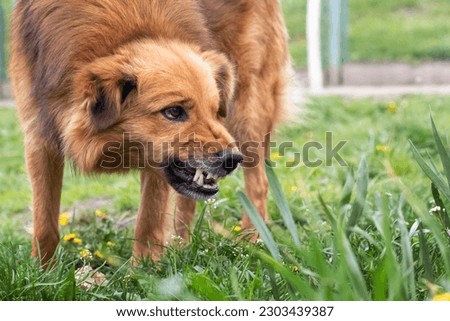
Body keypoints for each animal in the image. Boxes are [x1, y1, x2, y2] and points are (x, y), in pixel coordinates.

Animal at [10, 0, 290, 262]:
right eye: (174, 112)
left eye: (213, 110)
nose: (232, 160)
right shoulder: (39, 134)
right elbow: (44, 223)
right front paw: (43, 273)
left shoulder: (158, 160)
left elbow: (149, 220)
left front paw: (144, 272)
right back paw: (183, 246)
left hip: (247, 109)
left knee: (259, 184)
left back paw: (254, 242)